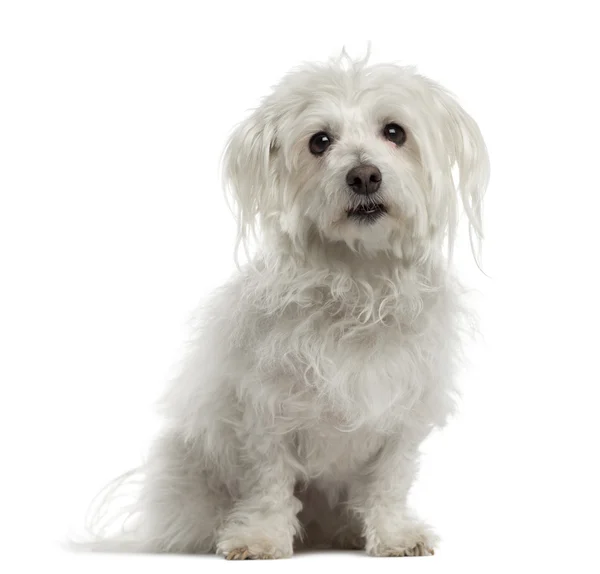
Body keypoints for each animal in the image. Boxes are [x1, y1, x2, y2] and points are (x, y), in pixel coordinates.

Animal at [83, 51, 488, 560]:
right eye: (320, 141)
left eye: (395, 132)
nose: (364, 175)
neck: (357, 279)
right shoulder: (266, 412)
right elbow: (268, 484)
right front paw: (259, 537)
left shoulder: (401, 411)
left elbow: (390, 480)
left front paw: (394, 535)